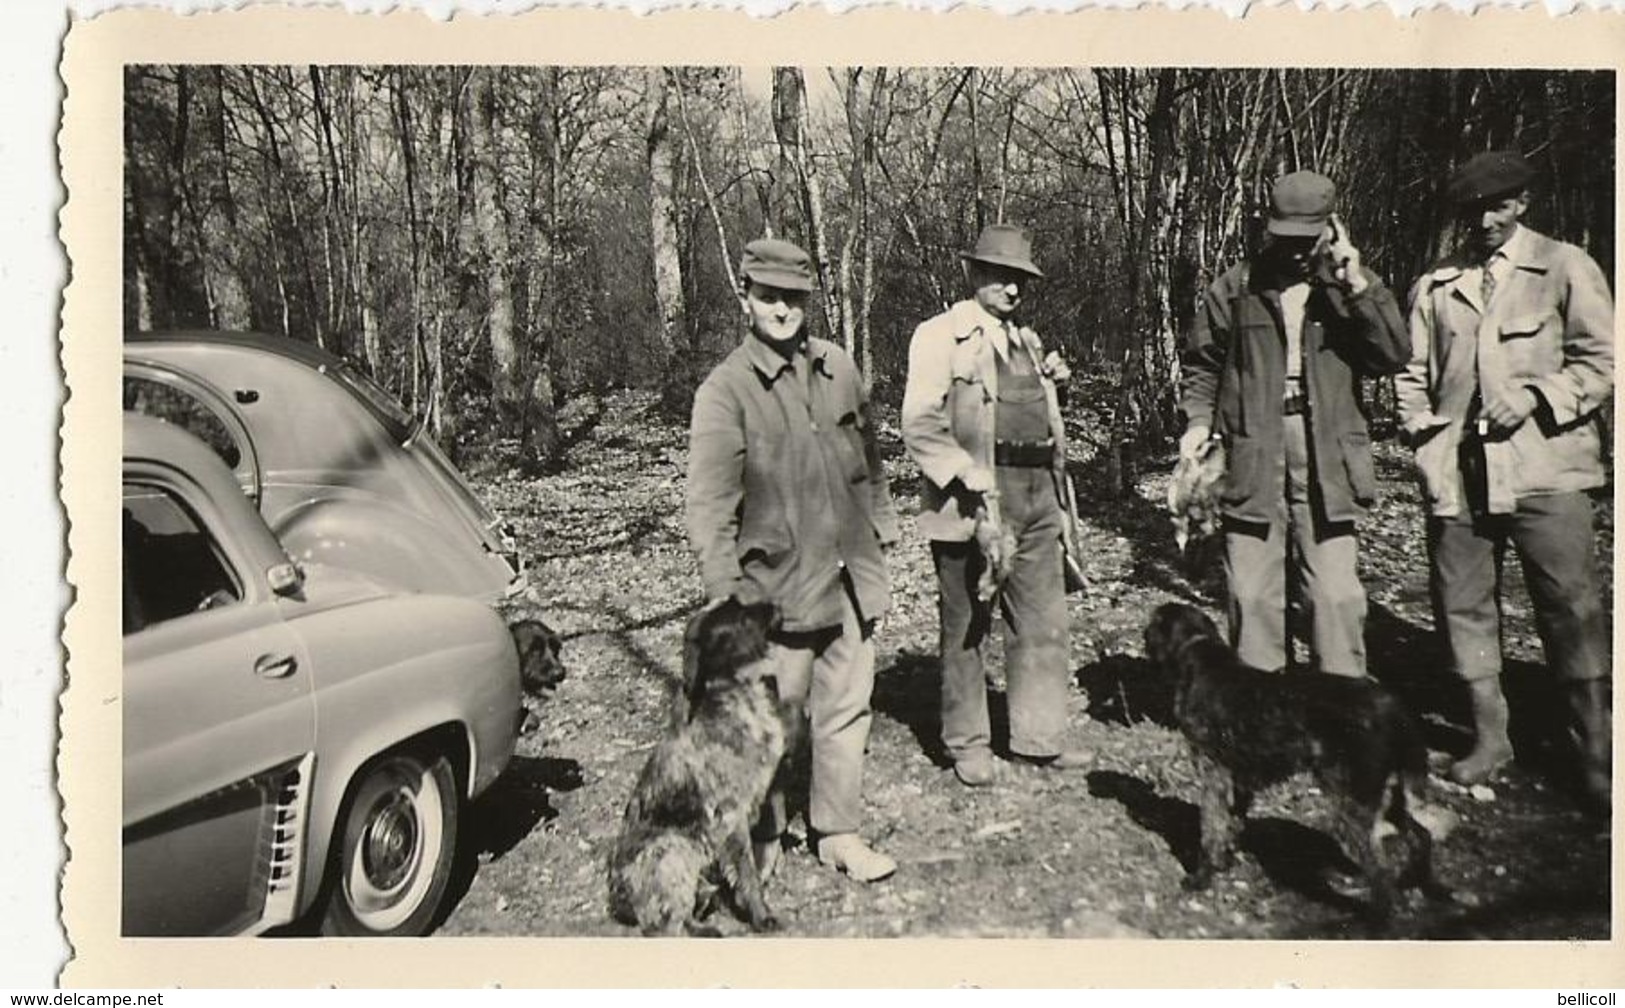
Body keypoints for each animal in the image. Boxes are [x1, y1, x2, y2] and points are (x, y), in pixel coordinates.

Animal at [607, 598, 789, 936]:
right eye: (741, 615)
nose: (775, 604)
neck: (737, 692)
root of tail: (617, 902)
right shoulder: (730, 815)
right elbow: (747, 873)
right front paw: (761, 915)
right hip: (671, 849)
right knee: (664, 924)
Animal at [1144, 601, 1449, 923]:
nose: (1145, 637)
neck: (1198, 649)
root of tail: (1394, 708)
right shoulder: (1239, 778)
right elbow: (1232, 823)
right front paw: (1224, 862)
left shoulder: (1213, 772)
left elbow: (1211, 829)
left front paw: (1202, 877)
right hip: (1389, 797)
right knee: (1421, 836)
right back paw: (1423, 884)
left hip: (1352, 808)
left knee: (1380, 871)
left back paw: (1379, 918)